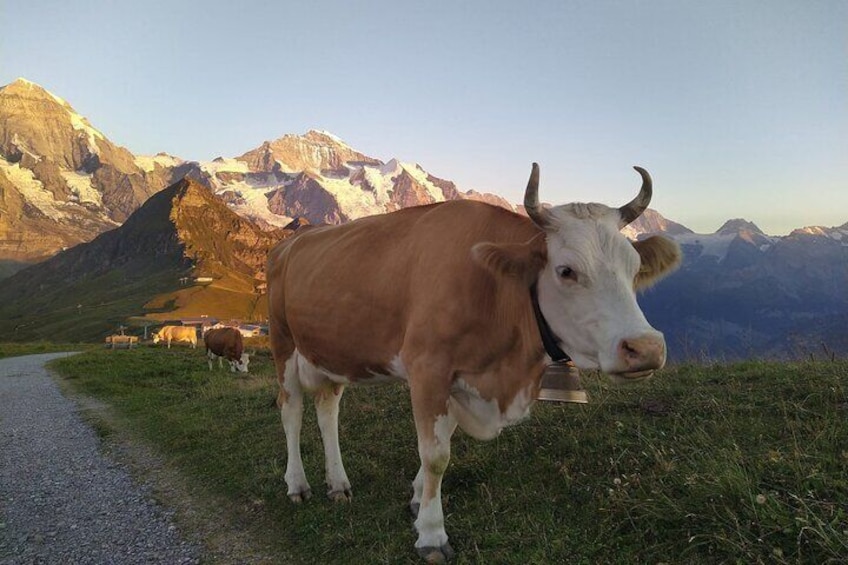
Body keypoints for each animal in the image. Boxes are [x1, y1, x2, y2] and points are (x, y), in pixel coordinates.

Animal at [266, 163, 684, 560]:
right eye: (566, 270)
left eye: (634, 269)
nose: (646, 347)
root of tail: (293, 240)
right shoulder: (428, 368)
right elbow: (436, 454)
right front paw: (432, 534)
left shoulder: (461, 378)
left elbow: (444, 438)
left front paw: (417, 498)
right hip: (283, 344)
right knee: (291, 410)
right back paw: (297, 484)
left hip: (331, 350)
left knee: (328, 410)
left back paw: (338, 483)